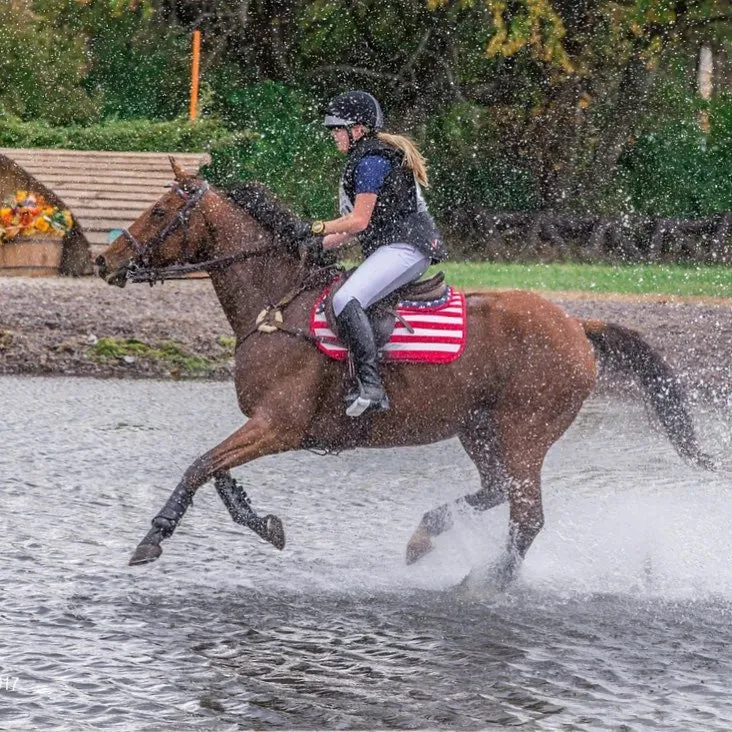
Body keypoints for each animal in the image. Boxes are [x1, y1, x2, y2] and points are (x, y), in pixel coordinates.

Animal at [94, 163, 712, 588]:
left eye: (158, 212)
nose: (104, 261)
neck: (277, 304)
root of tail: (577, 326)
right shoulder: (266, 427)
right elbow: (219, 474)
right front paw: (264, 522)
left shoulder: (277, 425)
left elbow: (200, 466)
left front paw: (152, 538)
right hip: (479, 429)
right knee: (496, 492)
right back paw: (425, 538)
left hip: (525, 431)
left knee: (527, 516)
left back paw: (483, 582)